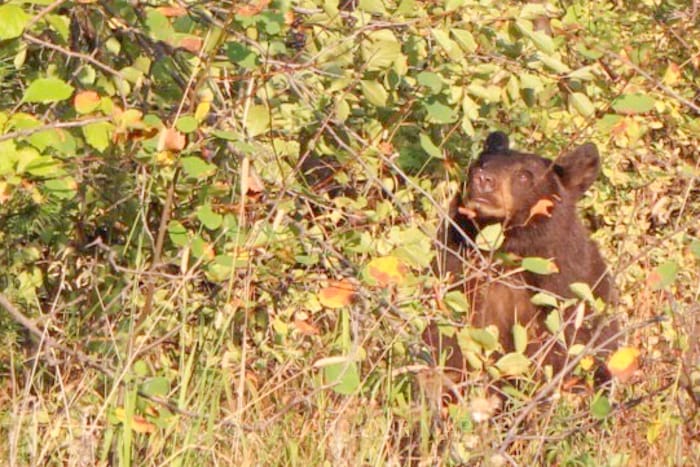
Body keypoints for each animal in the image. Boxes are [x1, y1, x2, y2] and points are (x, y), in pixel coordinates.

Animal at [426, 132, 616, 388]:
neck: (508, 255)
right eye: (480, 163)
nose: (482, 180)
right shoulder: (457, 275)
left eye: (524, 175)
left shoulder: (570, 293)